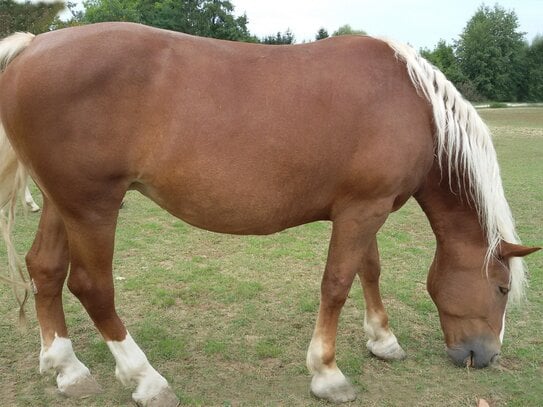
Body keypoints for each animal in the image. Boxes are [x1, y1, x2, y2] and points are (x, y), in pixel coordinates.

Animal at [0, 23, 540, 406]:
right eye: (502, 289)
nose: (484, 356)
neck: (414, 105)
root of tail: (32, 48)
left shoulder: (366, 208)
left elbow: (369, 269)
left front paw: (383, 341)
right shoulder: (362, 211)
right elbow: (337, 283)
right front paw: (327, 373)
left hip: (62, 203)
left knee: (45, 269)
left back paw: (66, 368)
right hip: (92, 207)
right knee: (92, 287)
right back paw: (146, 379)